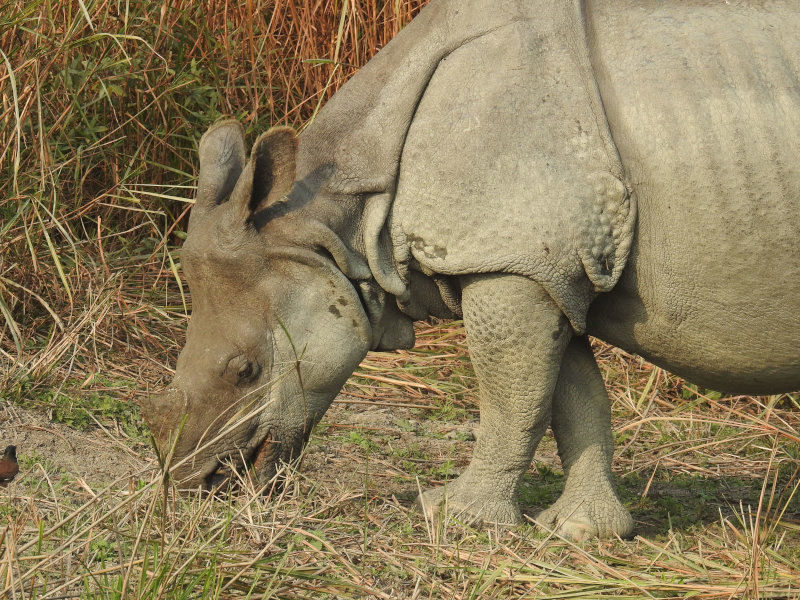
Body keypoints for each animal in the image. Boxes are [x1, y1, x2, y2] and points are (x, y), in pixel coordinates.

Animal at [141, 0, 800, 540]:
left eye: (245, 371)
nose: (200, 486)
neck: (332, 227)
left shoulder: (511, 261)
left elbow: (512, 402)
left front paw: (452, 515)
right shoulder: (537, 266)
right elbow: (571, 398)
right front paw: (582, 532)